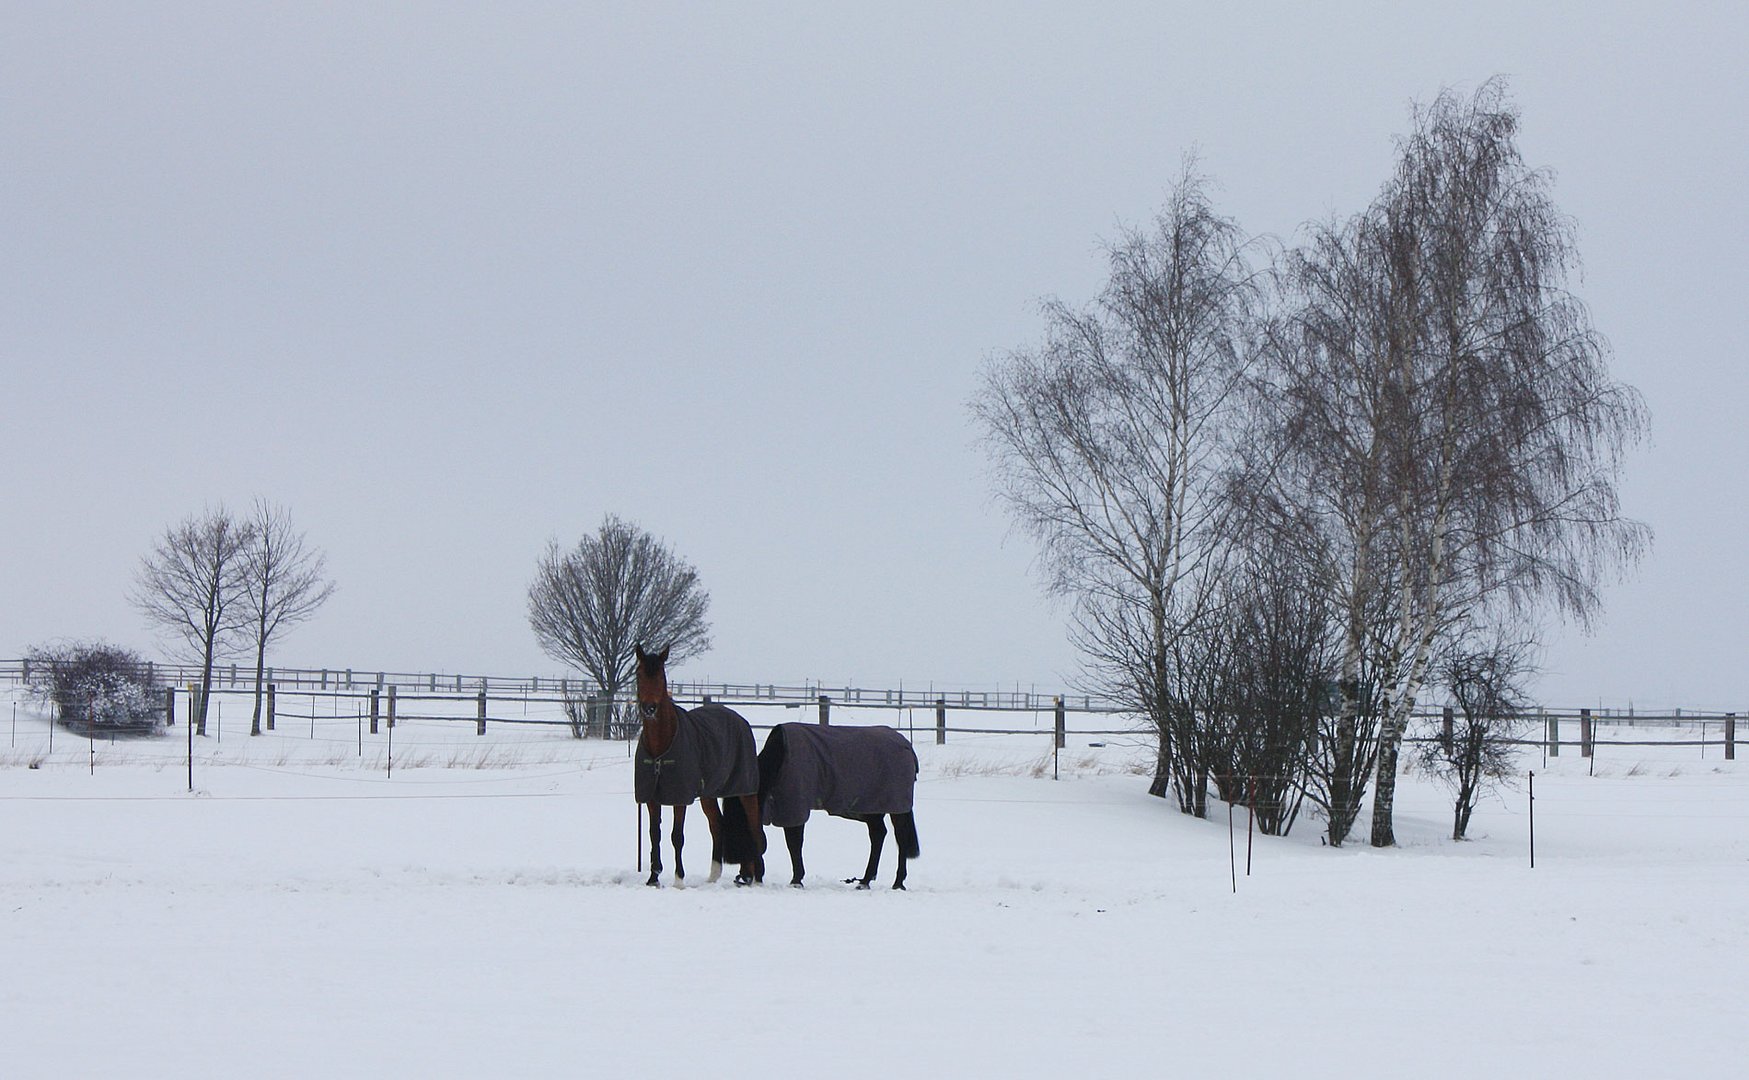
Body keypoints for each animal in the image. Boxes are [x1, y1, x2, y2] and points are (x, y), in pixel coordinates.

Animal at [633, 640, 762, 885]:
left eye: (661, 675)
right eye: (639, 673)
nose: (649, 708)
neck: (660, 747)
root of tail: (740, 720)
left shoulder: (680, 798)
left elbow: (677, 836)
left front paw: (679, 880)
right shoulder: (651, 798)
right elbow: (655, 834)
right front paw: (654, 878)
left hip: (745, 789)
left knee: (754, 826)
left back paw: (755, 876)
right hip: (708, 794)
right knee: (717, 825)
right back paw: (715, 876)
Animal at [720, 721, 923, 889]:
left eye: (740, 834)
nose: (742, 878)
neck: (780, 757)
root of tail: (906, 746)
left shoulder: (795, 805)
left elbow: (794, 843)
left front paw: (796, 880)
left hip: (895, 807)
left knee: (900, 838)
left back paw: (898, 882)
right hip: (872, 807)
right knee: (878, 835)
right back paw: (865, 881)